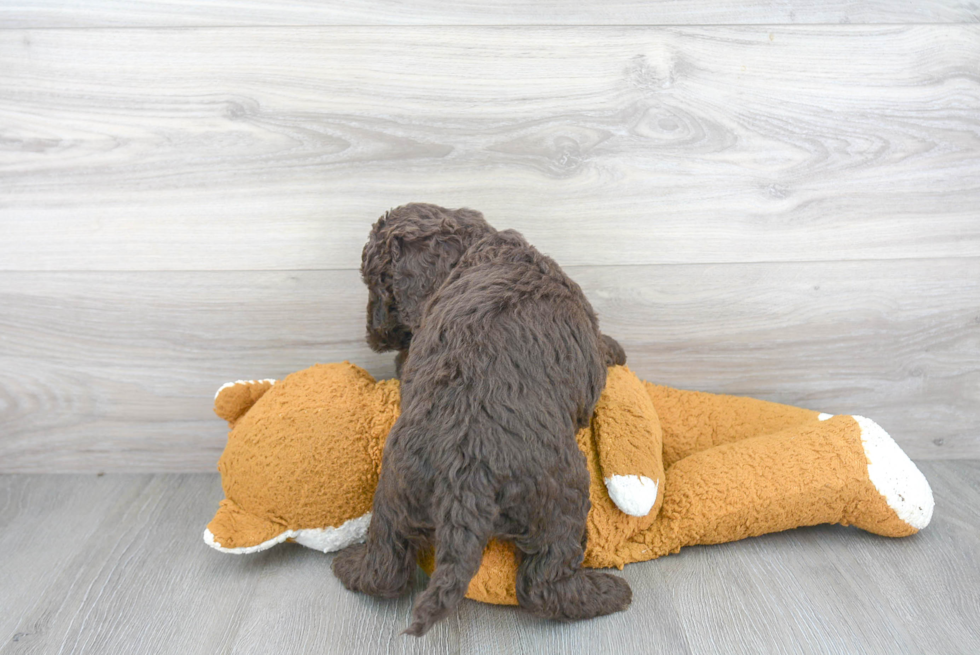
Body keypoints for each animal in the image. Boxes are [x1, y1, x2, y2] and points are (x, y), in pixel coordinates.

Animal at [334, 204, 632, 636]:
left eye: (379, 284)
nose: (374, 336)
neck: (481, 248)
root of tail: (464, 472)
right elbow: (602, 345)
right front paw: (616, 349)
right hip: (563, 493)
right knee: (546, 582)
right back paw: (607, 594)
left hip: (395, 490)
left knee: (386, 563)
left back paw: (348, 566)